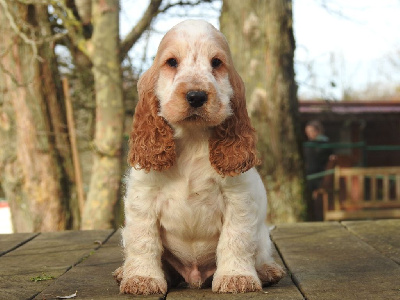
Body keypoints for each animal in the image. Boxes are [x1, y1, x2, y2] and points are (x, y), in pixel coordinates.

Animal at [114, 19, 286, 296]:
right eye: (172, 62)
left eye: (216, 62)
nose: (196, 96)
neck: (193, 138)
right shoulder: (143, 197)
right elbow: (143, 240)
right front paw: (142, 278)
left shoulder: (238, 197)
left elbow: (235, 239)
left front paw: (236, 277)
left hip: (261, 236)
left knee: (259, 252)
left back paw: (267, 271)